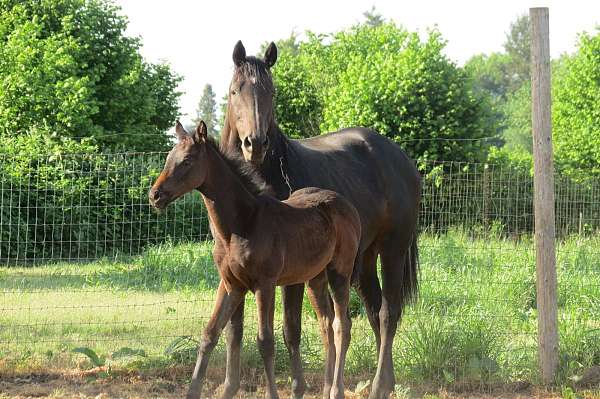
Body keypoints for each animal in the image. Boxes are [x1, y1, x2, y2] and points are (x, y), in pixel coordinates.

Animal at [149, 122, 360, 399]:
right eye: (167, 158)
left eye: (186, 161)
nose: (155, 195)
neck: (240, 225)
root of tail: (348, 206)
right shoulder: (231, 284)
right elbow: (211, 333)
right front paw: (194, 392)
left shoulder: (264, 284)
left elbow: (265, 341)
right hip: (315, 278)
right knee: (326, 325)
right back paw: (326, 389)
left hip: (340, 272)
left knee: (341, 325)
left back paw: (336, 390)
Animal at [220, 41, 422, 399]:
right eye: (235, 91)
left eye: (271, 92)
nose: (255, 144)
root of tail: (401, 158)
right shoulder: (236, 272)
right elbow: (235, 330)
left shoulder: (290, 274)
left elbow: (291, 329)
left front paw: (298, 388)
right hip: (363, 258)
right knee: (373, 311)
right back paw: (383, 382)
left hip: (393, 249)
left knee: (388, 313)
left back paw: (379, 386)